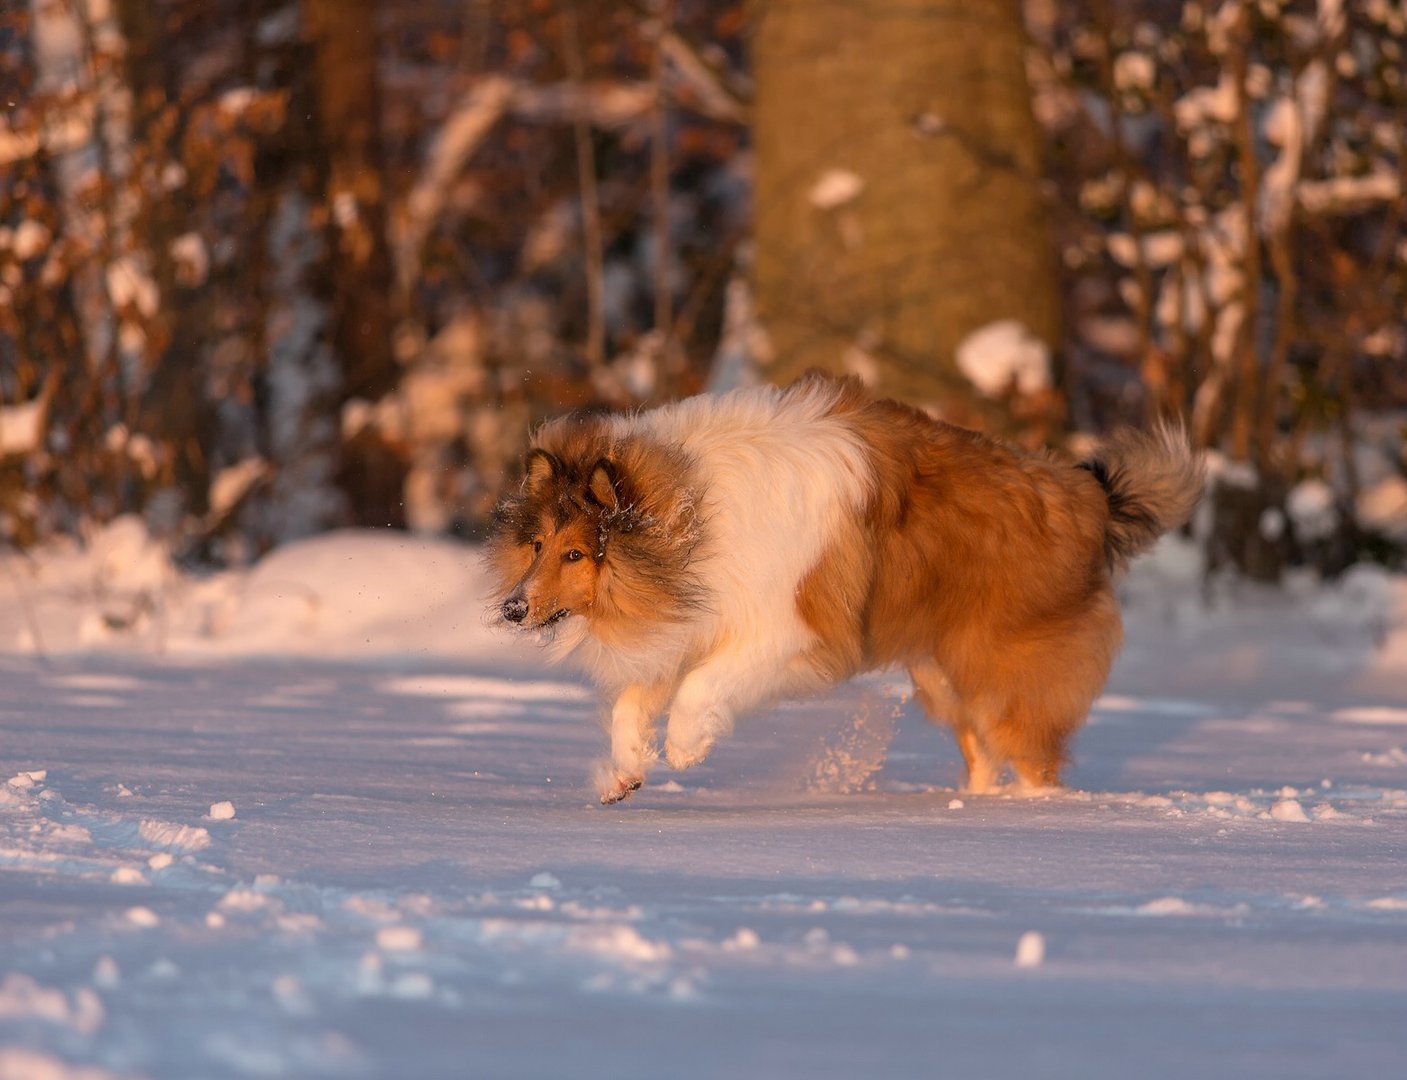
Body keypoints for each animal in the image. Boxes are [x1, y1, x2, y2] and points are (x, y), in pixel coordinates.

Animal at [489, 371, 1204, 798]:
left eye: (576, 553)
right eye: (536, 545)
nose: (513, 610)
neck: (693, 512)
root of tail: (1087, 495)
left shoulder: (787, 630)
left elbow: (700, 687)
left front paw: (686, 748)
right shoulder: (690, 618)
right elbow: (633, 701)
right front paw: (624, 771)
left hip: (1005, 674)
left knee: (1030, 753)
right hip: (944, 676)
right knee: (983, 751)